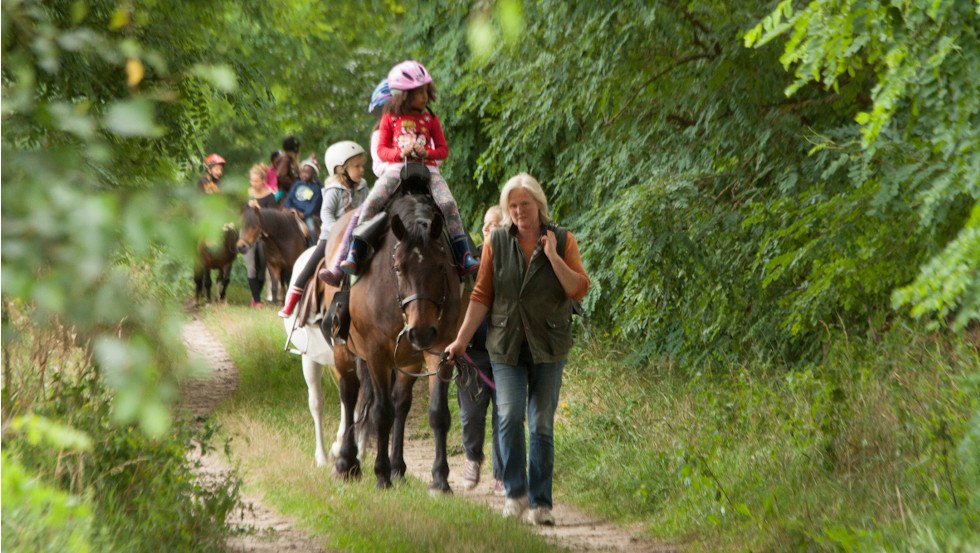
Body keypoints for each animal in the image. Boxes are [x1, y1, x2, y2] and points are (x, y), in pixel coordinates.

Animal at [336, 195, 468, 492]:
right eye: (397, 268)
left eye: (441, 266)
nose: (421, 332)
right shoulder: (377, 355)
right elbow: (381, 413)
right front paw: (381, 474)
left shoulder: (441, 350)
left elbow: (438, 413)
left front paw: (440, 478)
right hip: (345, 352)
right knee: (350, 396)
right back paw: (346, 462)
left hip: (408, 360)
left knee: (400, 403)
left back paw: (397, 466)